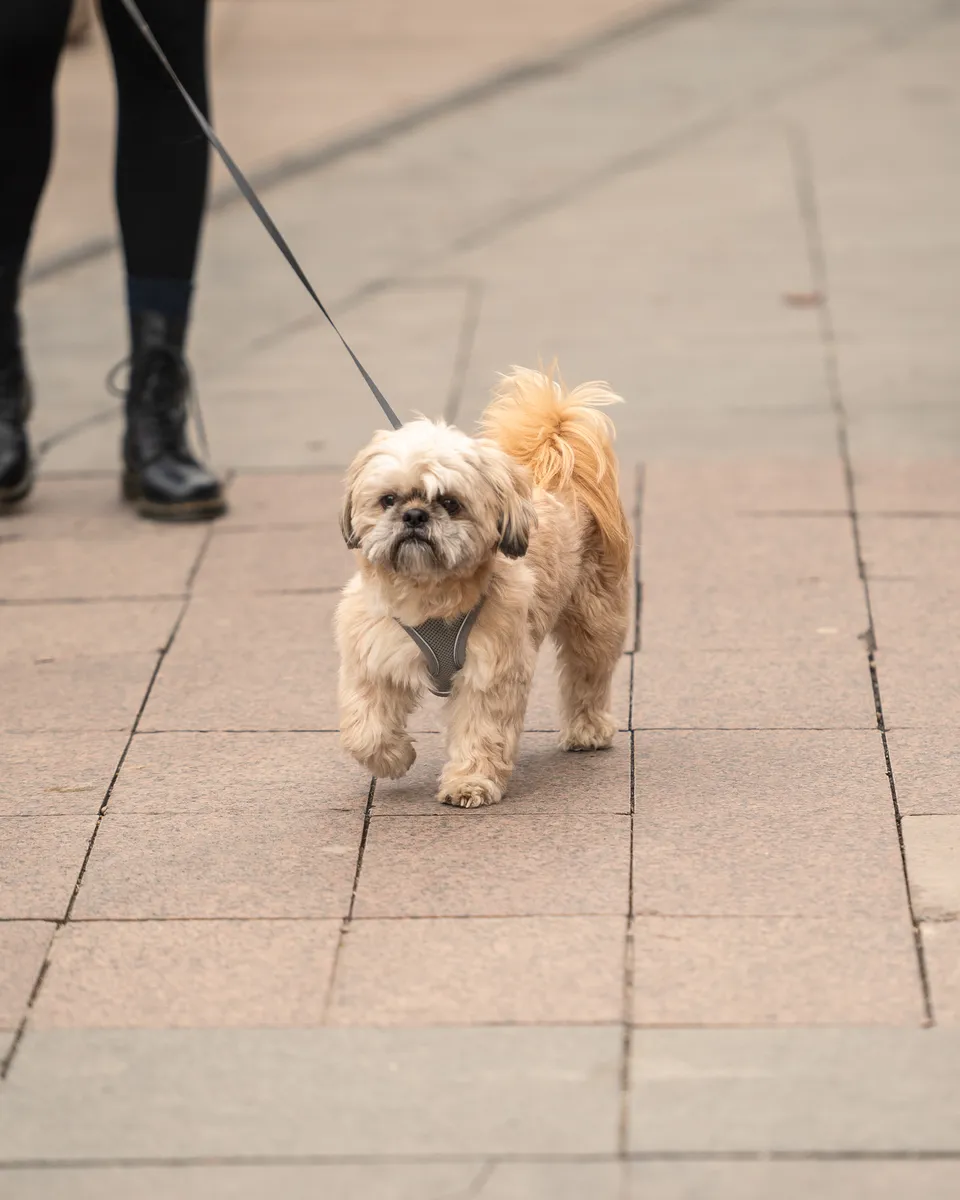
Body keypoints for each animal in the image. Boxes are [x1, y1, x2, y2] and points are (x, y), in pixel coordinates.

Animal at [333, 364, 633, 811]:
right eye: (388, 499)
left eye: (451, 502)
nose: (415, 516)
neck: (430, 597)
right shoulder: (373, 658)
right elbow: (365, 729)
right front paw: (394, 758)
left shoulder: (490, 672)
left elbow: (481, 732)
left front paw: (470, 782)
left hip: (594, 620)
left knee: (587, 676)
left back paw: (588, 729)